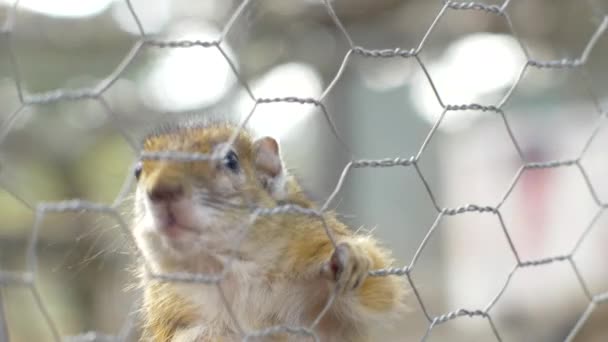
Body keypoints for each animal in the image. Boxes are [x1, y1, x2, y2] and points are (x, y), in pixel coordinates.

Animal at [132, 117, 408, 340]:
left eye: (230, 160)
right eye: (138, 171)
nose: (162, 190)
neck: (235, 271)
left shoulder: (309, 238)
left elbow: (383, 291)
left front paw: (351, 256)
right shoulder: (171, 305)